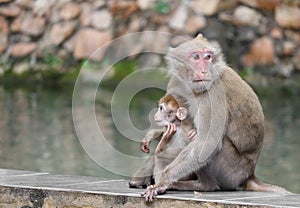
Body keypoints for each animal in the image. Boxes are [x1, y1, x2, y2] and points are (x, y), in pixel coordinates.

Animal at [143, 34, 290, 202]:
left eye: (208, 57)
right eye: (196, 57)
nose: (204, 71)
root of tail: (249, 174)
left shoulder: (212, 94)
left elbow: (207, 143)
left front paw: (162, 181)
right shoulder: (176, 81)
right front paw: (152, 135)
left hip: (231, 172)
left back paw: (203, 185)